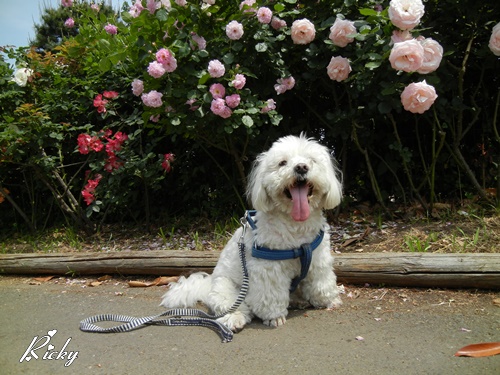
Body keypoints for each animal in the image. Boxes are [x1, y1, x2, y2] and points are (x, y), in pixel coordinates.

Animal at [162, 134, 342, 332]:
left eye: (312, 161)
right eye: (282, 163)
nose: (301, 167)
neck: (296, 227)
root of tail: (208, 284)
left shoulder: (318, 259)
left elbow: (321, 282)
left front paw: (328, 301)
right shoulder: (268, 269)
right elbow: (271, 295)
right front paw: (274, 317)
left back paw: (298, 301)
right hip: (227, 288)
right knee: (231, 306)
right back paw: (234, 319)